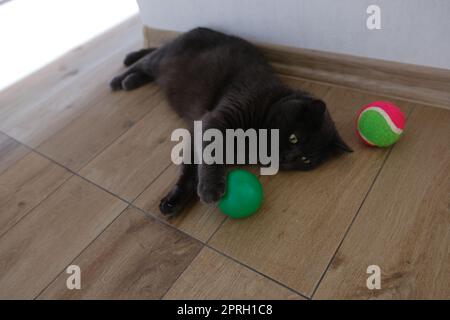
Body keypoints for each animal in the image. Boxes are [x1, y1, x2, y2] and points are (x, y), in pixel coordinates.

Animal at [110, 26, 352, 215]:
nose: (286, 159)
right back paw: (120, 78)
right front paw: (209, 190)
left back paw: (131, 80)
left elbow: (190, 169)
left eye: (305, 160)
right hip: (163, 59)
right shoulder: (217, 119)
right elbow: (208, 155)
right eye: (294, 138)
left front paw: (174, 201)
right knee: (145, 60)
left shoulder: (198, 132)